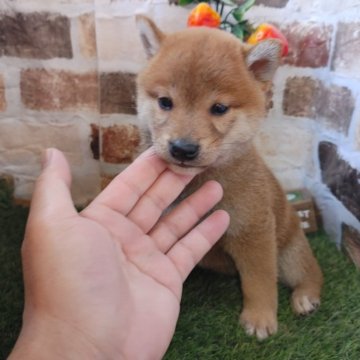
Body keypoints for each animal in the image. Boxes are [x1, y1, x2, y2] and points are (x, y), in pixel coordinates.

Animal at [135, 14, 324, 340]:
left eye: (219, 108)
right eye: (165, 102)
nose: (183, 148)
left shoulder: (253, 232)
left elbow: (260, 281)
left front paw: (260, 318)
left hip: (290, 254)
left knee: (312, 273)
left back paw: (305, 297)